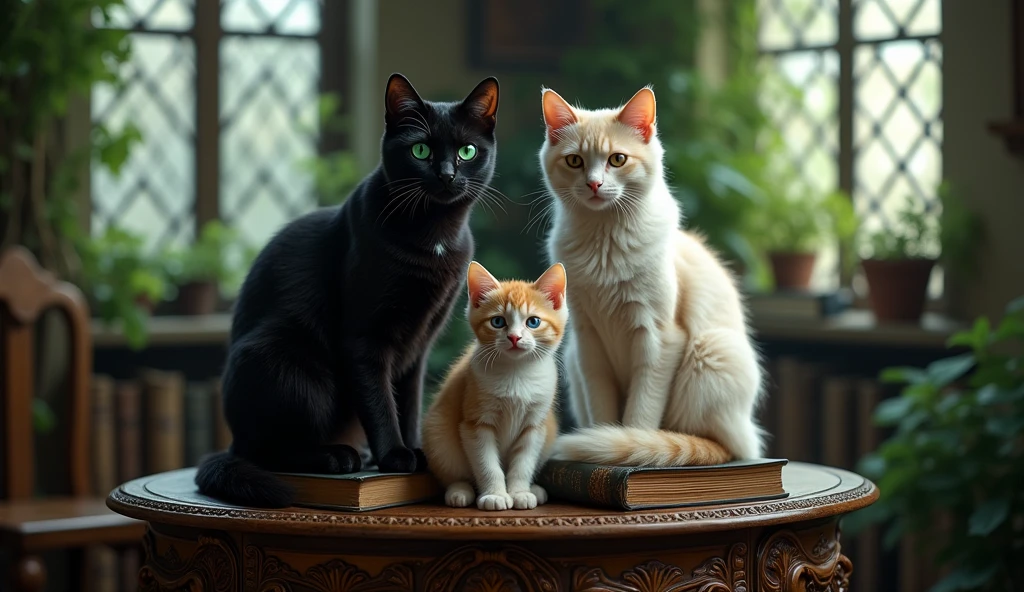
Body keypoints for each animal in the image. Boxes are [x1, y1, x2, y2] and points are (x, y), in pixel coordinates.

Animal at [195, 72, 499, 508]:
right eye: (421, 150)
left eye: (467, 151)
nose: (446, 174)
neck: (436, 238)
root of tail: (233, 439)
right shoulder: (363, 337)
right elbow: (379, 400)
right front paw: (395, 455)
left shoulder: (419, 344)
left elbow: (407, 401)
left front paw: (413, 450)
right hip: (290, 367)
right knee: (268, 450)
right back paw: (337, 457)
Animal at [423, 260, 569, 510]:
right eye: (498, 321)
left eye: (533, 322)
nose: (514, 337)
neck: (517, 372)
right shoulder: (475, 423)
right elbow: (487, 464)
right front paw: (495, 495)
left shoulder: (535, 426)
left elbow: (523, 463)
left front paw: (520, 492)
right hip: (437, 432)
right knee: (452, 472)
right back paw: (459, 491)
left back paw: (534, 489)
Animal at [540, 86, 765, 464]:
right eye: (575, 161)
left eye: (617, 159)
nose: (594, 184)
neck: (604, 245)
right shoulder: (588, 343)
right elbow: (604, 413)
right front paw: (601, 443)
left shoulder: (659, 338)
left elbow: (640, 415)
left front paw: (628, 444)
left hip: (711, 352)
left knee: (721, 446)